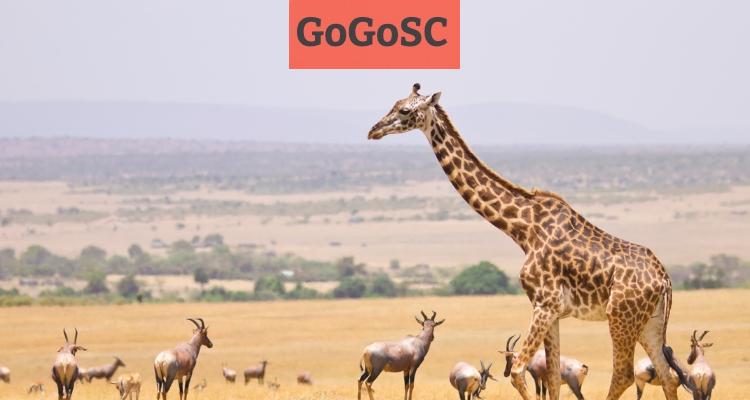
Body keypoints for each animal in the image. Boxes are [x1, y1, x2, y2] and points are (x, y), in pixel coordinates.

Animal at [367, 84, 680, 400]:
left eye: (405, 110)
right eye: (394, 103)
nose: (374, 130)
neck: (524, 230)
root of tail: (664, 280)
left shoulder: (544, 304)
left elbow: (518, 371)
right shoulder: (553, 311)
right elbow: (552, 377)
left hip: (620, 317)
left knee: (623, 374)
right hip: (649, 323)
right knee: (668, 376)